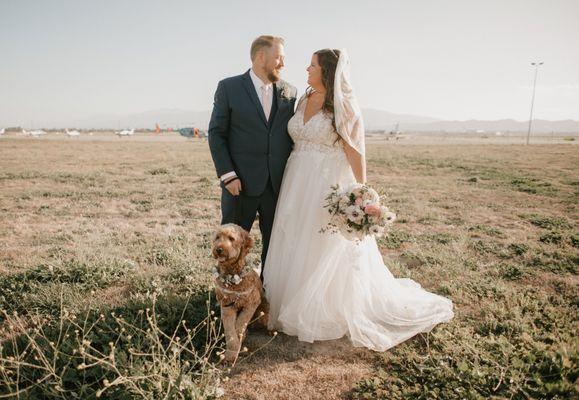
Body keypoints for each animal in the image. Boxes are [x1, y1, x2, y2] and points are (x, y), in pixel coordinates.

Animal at [211, 223, 270, 364]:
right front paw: (231, 353)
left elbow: (240, 323)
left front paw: (240, 338)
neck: (232, 276)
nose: (218, 249)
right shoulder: (227, 306)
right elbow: (230, 330)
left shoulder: (252, 303)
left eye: (231, 238)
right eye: (217, 237)